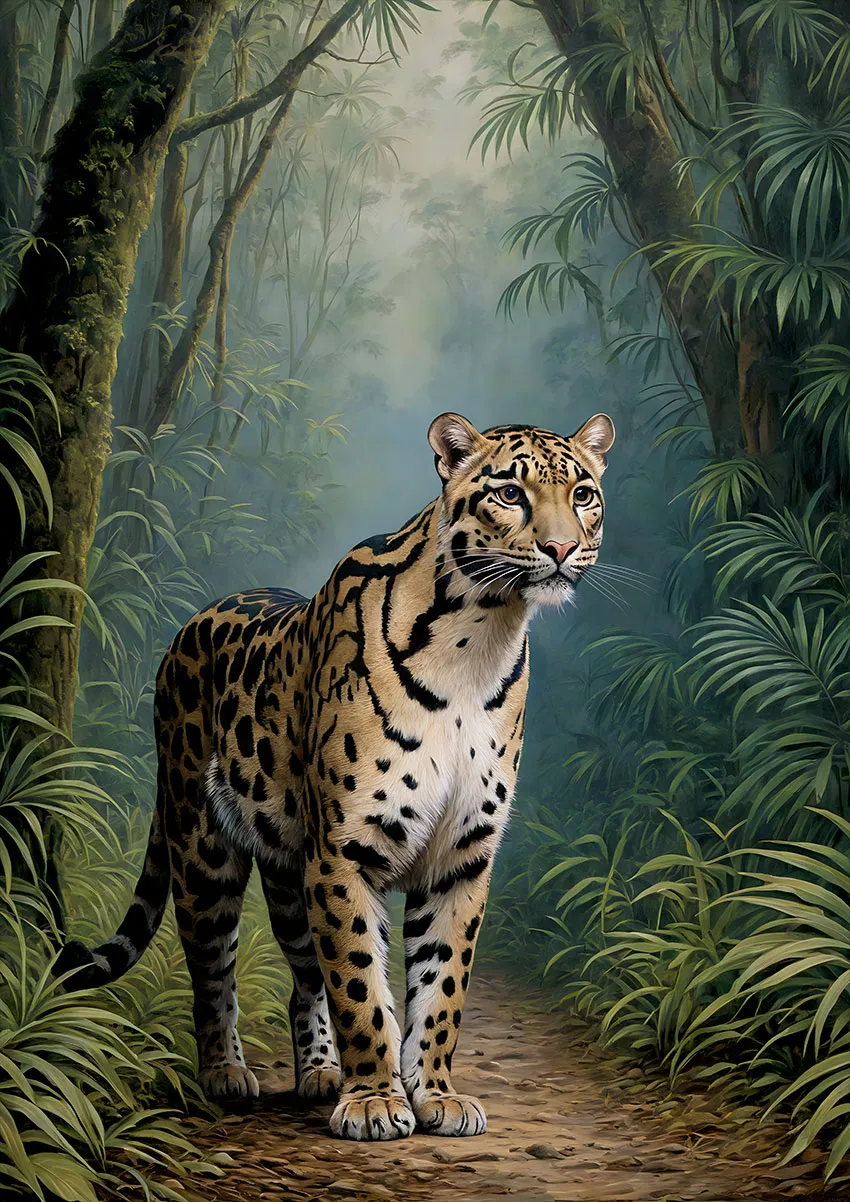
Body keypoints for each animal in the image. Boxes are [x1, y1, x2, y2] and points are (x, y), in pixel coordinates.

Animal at [56, 409, 615, 1141]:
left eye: (583, 494)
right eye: (509, 494)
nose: (560, 547)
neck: (481, 639)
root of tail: (190, 626)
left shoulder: (462, 857)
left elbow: (441, 988)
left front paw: (436, 1095)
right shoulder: (346, 851)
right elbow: (360, 985)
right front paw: (376, 1100)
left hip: (289, 870)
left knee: (302, 977)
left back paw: (320, 1072)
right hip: (204, 850)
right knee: (211, 970)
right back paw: (225, 1074)